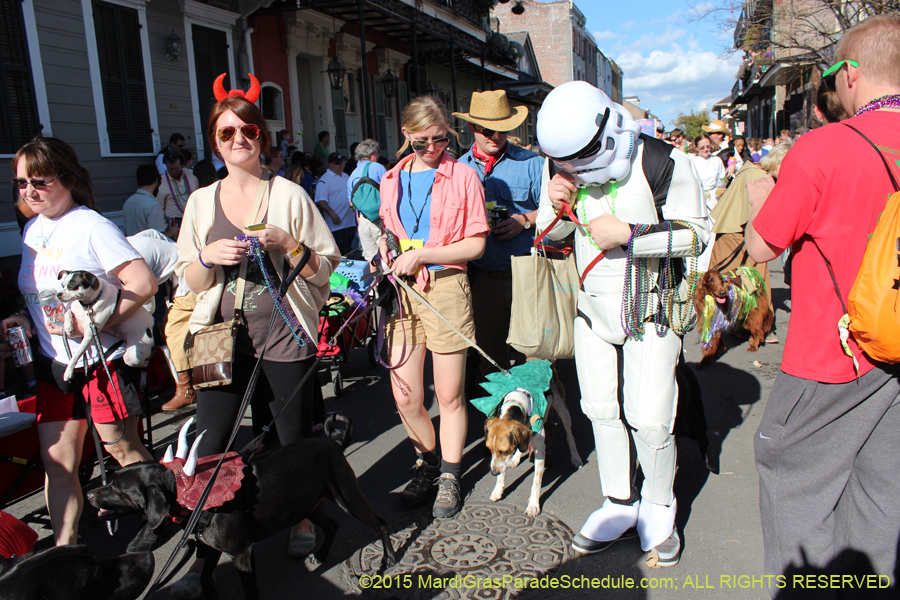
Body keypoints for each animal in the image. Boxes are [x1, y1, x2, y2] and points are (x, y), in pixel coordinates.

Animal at [89, 436, 398, 600]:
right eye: (113, 480)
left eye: (117, 488)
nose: (91, 495)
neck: (191, 492)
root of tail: (331, 440)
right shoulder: (210, 547)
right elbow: (207, 578)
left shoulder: (241, 554)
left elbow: (249, 590)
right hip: (308, 505)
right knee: (332, 525)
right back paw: (321, 555)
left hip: (348, 497)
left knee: (380, 522)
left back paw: (389, 558)